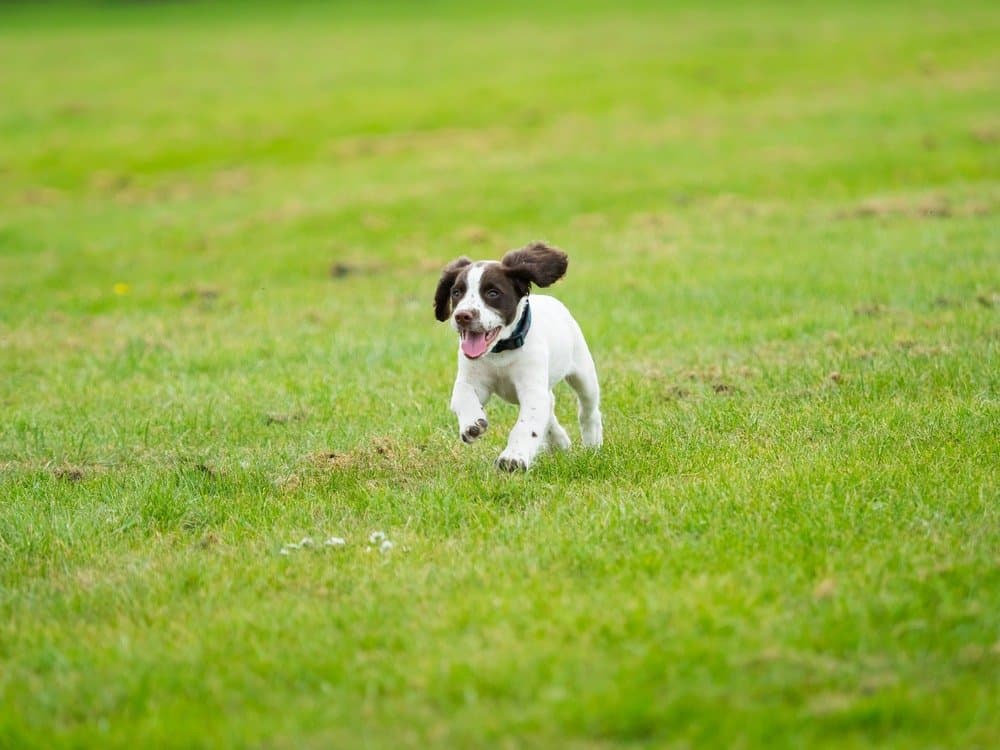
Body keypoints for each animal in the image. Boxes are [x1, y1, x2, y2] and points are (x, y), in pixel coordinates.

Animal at [432, 244, 600, 472]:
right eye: (456, 292)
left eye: (493, 293)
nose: (462, 316)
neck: (500, 352)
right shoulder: (471, 380)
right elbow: (462, 396)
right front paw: (471, 423)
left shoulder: (532, 390)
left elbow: (526, 426)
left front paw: (513, 458)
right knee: (550, 408)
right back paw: (559, 442)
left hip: (583, 372)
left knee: (588, 409)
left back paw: (593, 444)